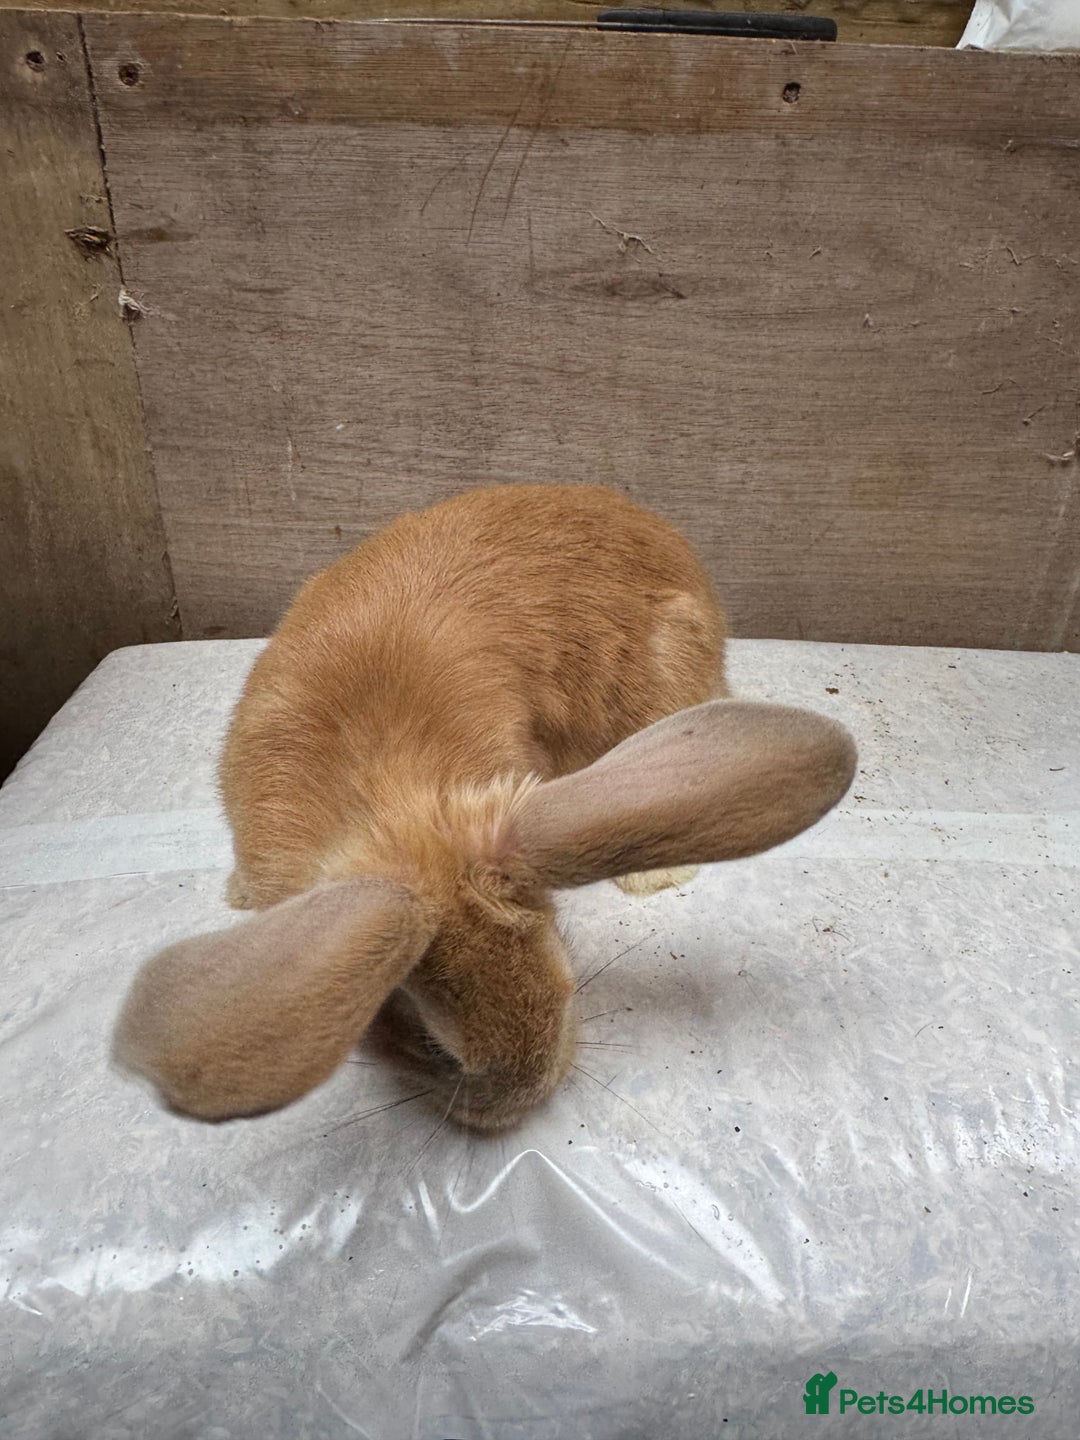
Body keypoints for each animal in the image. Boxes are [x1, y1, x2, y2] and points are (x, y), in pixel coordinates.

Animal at [113, 483, 856, 1132]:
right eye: (432, 1047)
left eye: (566, 979)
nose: (518, 1107)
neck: (392, 804)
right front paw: (237, 895)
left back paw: (654, 877)